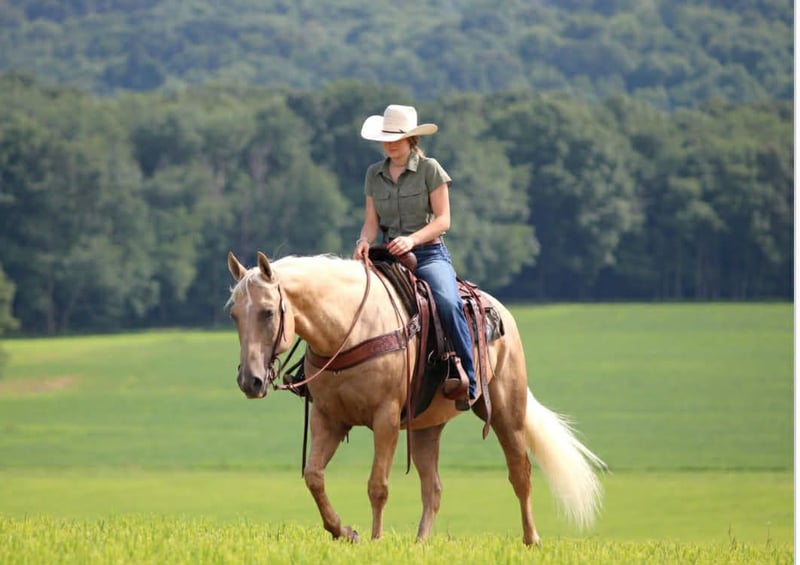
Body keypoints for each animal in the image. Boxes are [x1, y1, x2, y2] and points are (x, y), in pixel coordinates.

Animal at [226, 250, 605, 546]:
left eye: (268, 312)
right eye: (234, 314)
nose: (250, 381)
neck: (349, 328)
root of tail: (502, 313)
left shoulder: (386, 418)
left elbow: (377, 485)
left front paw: (376, 540)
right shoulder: (328, 418)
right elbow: (314, 476)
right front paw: (345, 532)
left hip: (506, 412)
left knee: (520, 473)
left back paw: (531, 539)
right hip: (426, 428)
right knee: (433, 487)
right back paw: (420, 543)